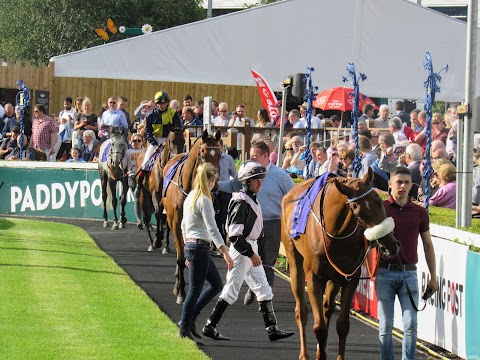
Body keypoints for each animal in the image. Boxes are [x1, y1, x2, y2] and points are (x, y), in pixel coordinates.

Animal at [161, 129, 221, 304]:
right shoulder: (175, 222)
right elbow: (181, 257)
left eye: (220, 154)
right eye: (203, 154)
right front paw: (181, 292)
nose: (215, 185)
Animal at [280, 169, 400, 360]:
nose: (390, 244)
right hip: (294, 259)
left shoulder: (350, 278)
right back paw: (305, 354)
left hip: (334, 277)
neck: (336, 232)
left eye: (379, 201)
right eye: (357, 208)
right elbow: (319, 328)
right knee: (301, 310)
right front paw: (319, 353)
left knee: (327, 307)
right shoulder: (314, 278)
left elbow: (343, 325)